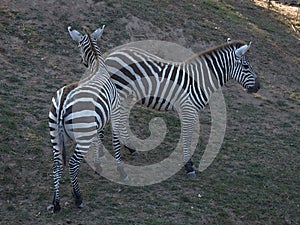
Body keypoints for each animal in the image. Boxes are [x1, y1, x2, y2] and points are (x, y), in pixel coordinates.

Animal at [47, 25, 126, 213]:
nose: (82, 62)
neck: (97, 66)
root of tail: (64, 99)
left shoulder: (99, 119)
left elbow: (100, 138)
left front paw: (98, 165)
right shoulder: (115, 111)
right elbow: (115, 140)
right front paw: (120, 170)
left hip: (55, 132)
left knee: (57, 164)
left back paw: (56, 202)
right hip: (82, 135)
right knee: (73, 164)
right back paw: (78, 198)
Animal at [105, 39, 260, 177]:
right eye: (246, 66)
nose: (258, 87)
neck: (201, 80)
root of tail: (113, 54)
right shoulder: (188, 109)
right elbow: (188, 136)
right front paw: (189, 166)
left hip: (127, 96)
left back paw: (130, 148)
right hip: (120, 93)